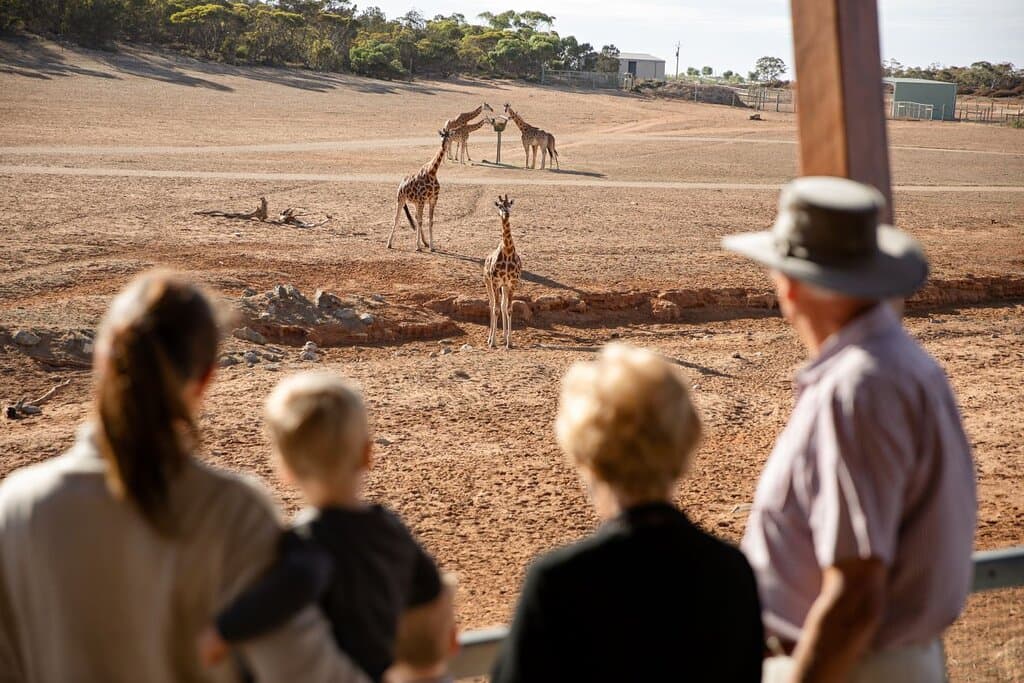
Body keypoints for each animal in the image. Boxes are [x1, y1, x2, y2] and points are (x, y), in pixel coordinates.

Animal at [484, 194, 523, 350]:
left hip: (504, 287)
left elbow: (508, 309)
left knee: (502, 306)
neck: (507, 252)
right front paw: (493, 342)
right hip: (487, 282)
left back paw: (504, 336)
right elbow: (495, 309)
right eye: (499, 205)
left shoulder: (512, 283)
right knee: (491, 305)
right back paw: (489, 339)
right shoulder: (495, 282)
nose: (506, 214)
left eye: (509, 204)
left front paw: (509, 342)